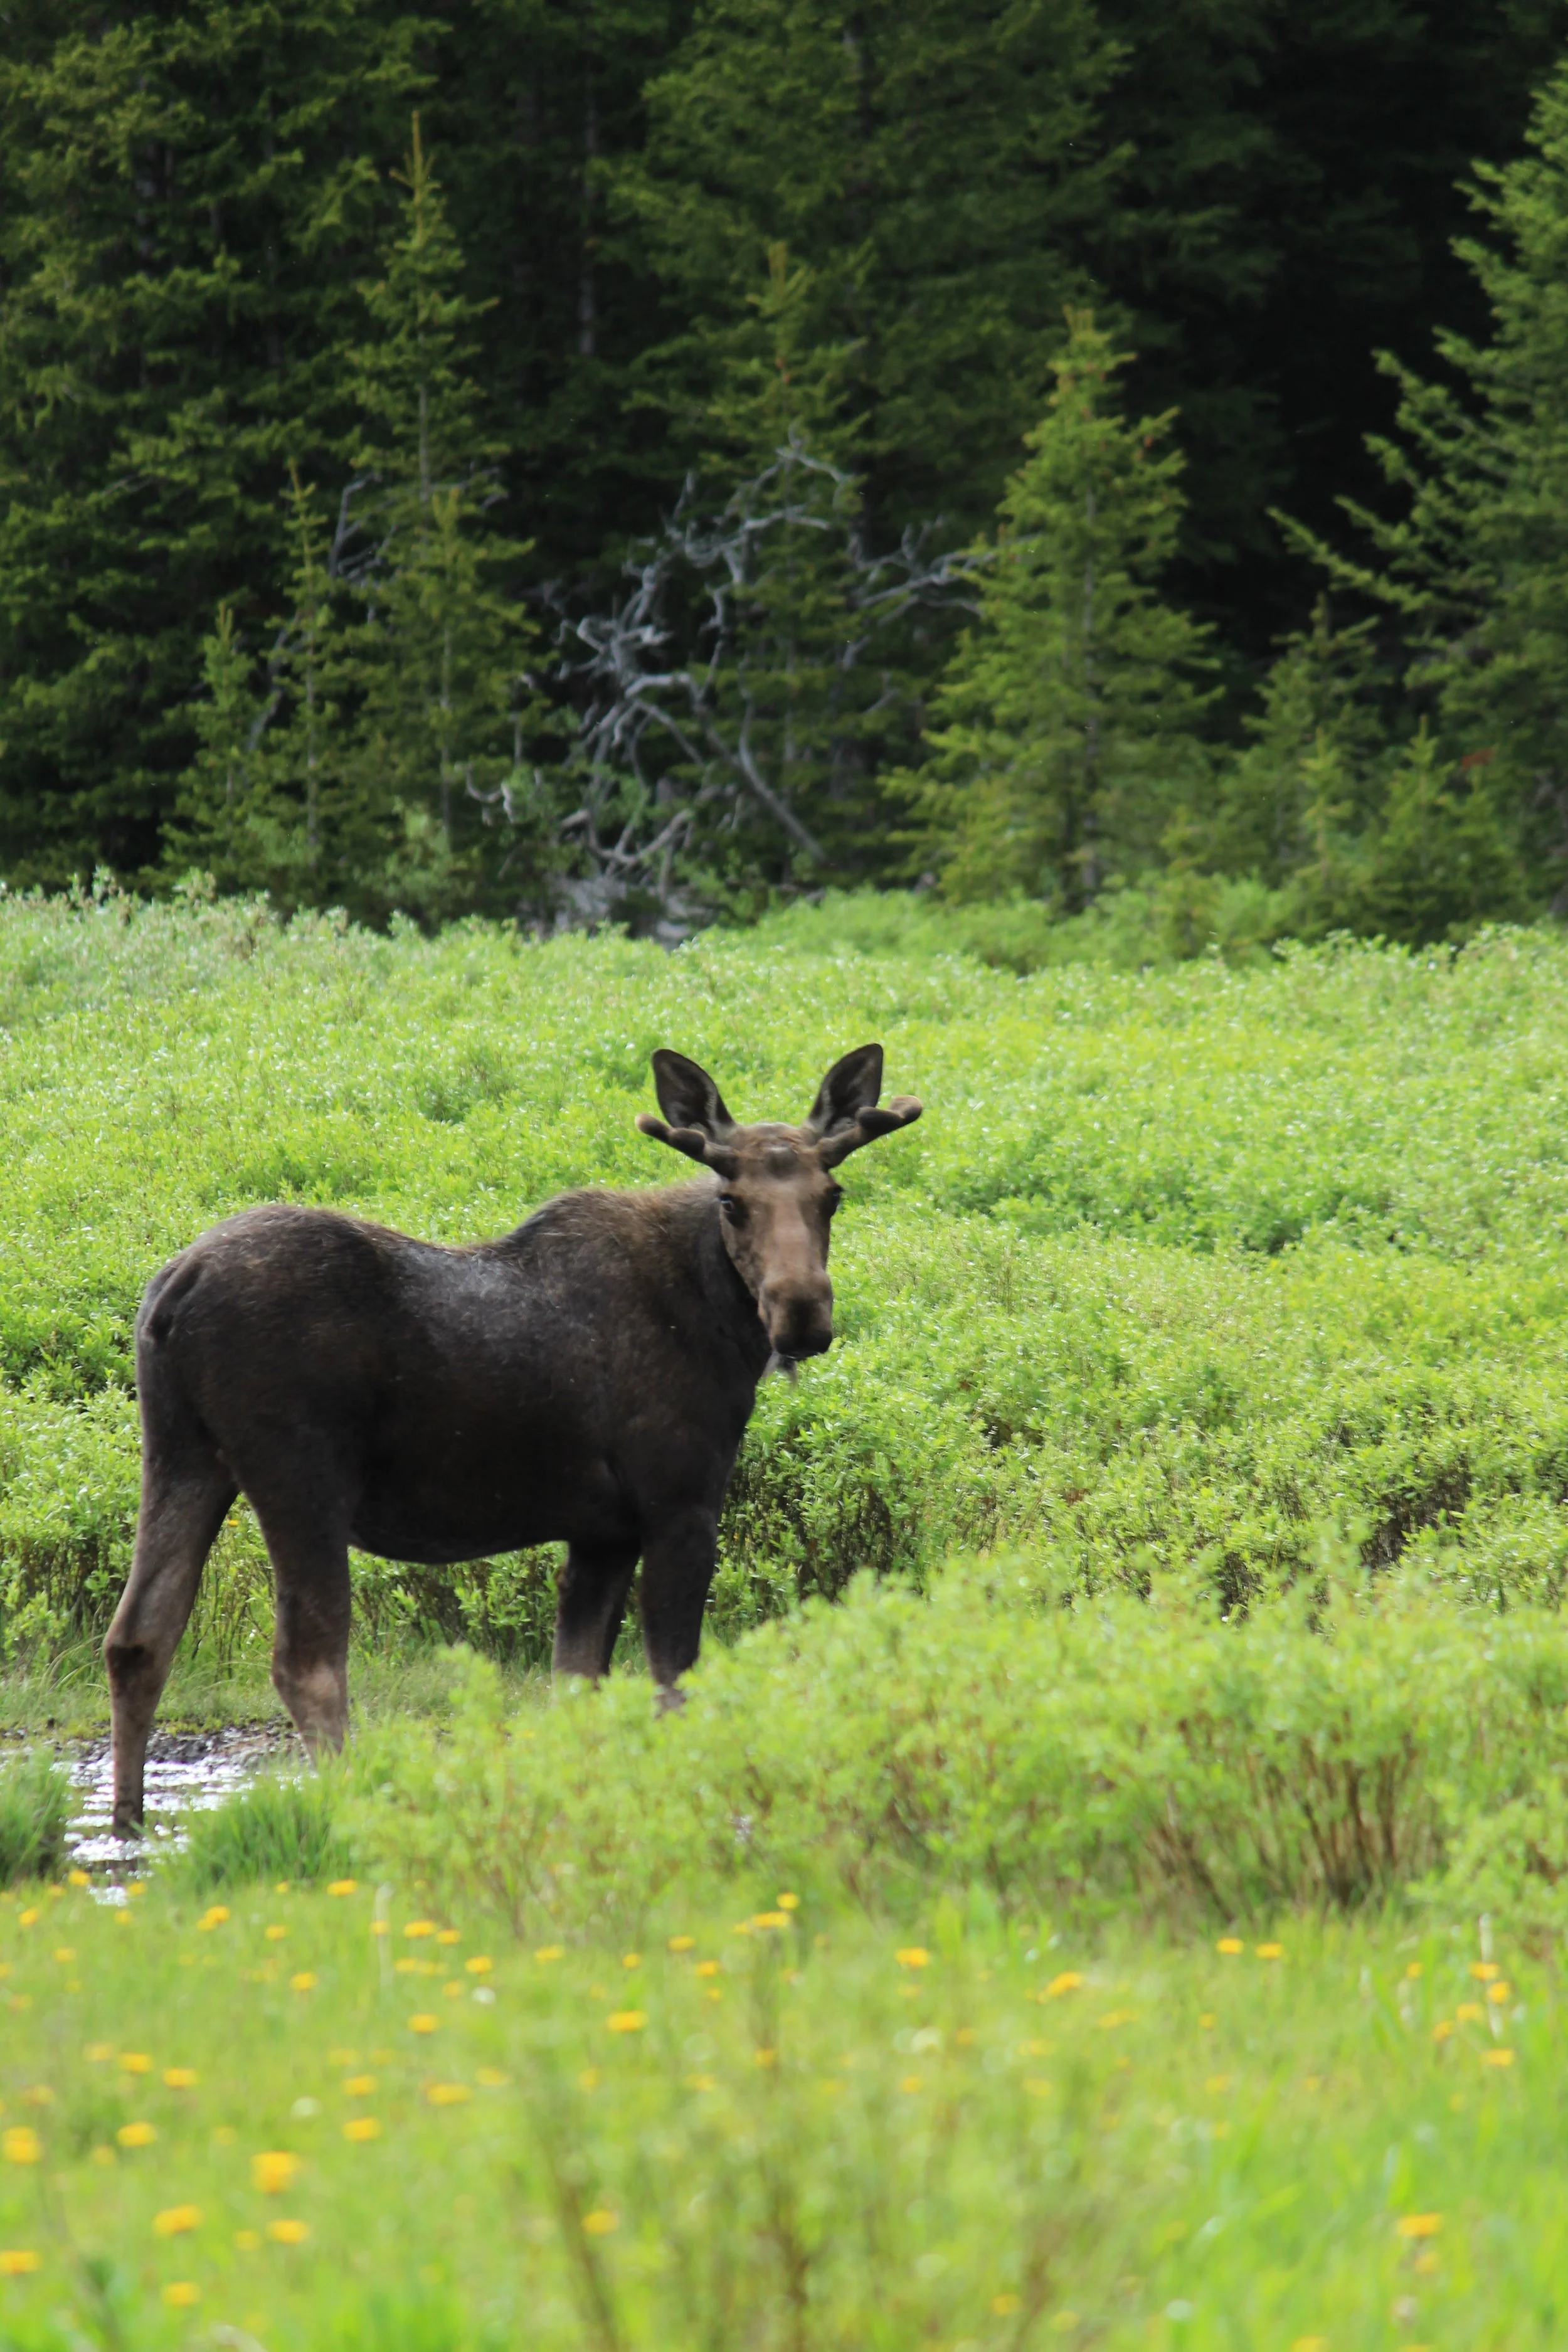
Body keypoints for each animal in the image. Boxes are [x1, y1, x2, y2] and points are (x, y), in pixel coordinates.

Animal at [103, 1044, 922, 1832]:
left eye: (832, 1195)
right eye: (732, 1201)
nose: (802, 1314)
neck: (724, 1323)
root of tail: (175, 1286)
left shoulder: (603, 1533)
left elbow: (578, 1684)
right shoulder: (681, 1506)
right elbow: (671, 1680)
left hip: (182, 1453)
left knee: (138, 1638)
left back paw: (129, 1823)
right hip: (299, 1475)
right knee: (306, 1662)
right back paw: (349, 1801)